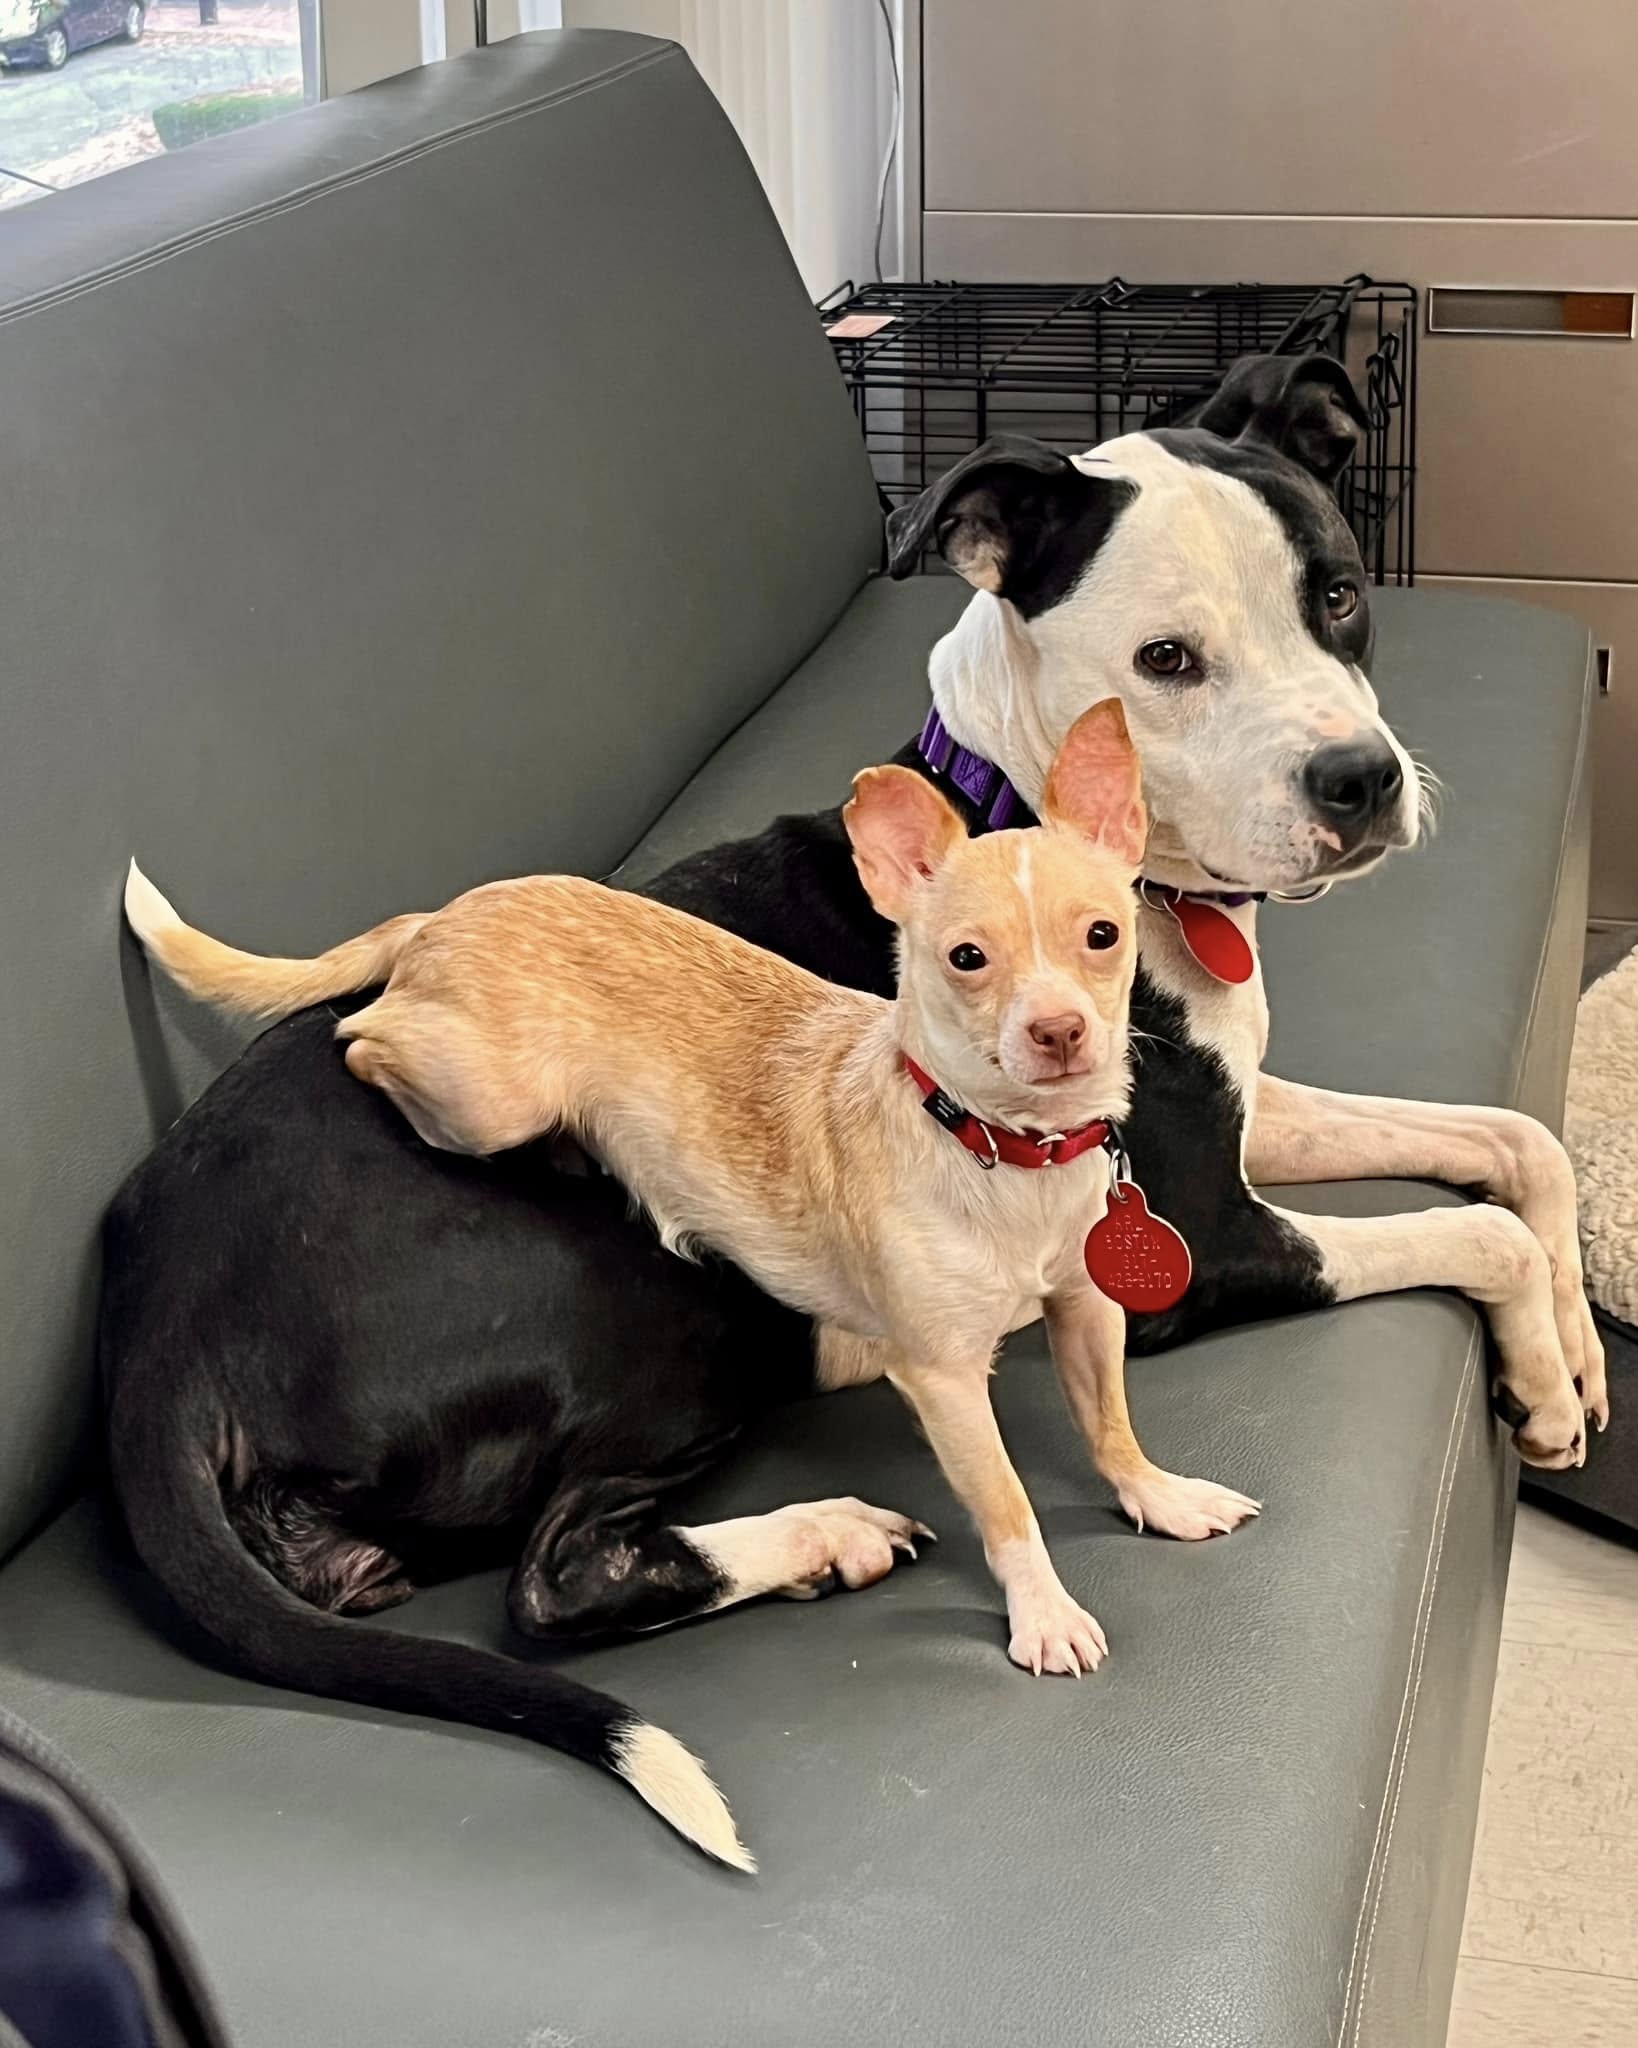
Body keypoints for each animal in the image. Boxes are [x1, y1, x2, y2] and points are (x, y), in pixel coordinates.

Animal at [99, 352, 1597, 1859]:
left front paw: (1575, 1364)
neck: (1026, 815)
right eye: (1166, 661)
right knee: (557, 1575)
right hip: (678, 1302)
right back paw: (827, 1533)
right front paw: (1539, 1372)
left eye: (1338, 594)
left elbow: (1517, 1145)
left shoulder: (1240, 1118)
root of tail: (155, 1329)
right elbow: (1473, 1230)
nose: (1362, 780)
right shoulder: (1195, 1242)